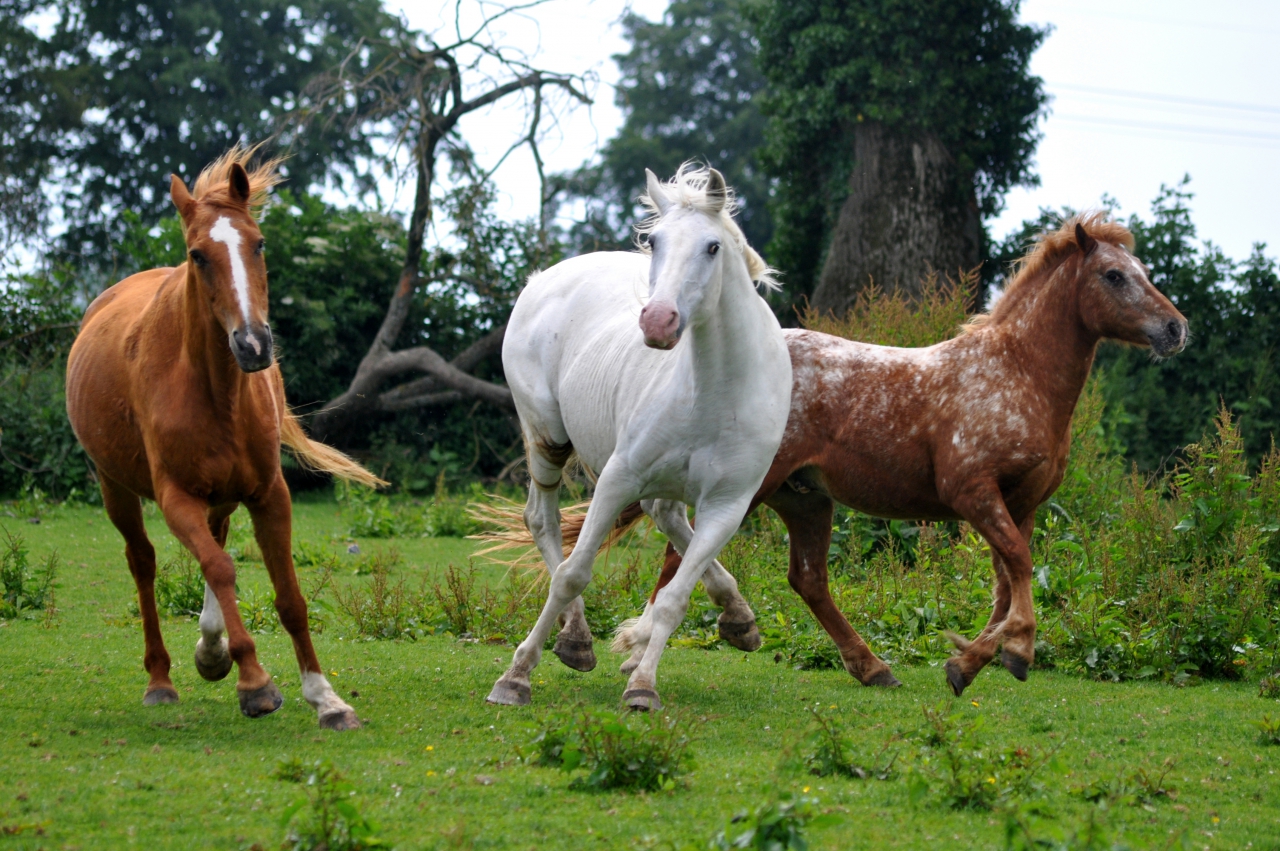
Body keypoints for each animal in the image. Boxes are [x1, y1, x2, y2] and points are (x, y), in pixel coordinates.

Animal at [66, 148, 385, 729]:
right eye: (198, 255)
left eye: (258, 243)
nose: (254, 345)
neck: (215, 392)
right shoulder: (175, 497)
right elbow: (219, 566)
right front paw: (255, 683)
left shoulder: (269, 494)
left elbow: (289, 597)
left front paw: (326, 698)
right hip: (114, 487)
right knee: (144, 562)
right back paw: (162, 679)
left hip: (222, 493)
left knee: (213, 538)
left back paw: (210, 650)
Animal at [486, 164, 792, 711]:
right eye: (654, 241)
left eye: (713, 246)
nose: (657, 321)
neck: (717, 388)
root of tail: (544, 280)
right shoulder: (618, 479)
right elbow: (572, 575)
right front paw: (516, 676)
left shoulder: (727, 506)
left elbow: (673, 599)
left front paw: (643, 686)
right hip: (548, 438)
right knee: (542, 523)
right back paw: (575, 639)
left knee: (664, 516)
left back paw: (737, 618)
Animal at [525, 213, 1188, 696]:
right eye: (1113, 276)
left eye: (1141, 270)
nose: (1176, 329)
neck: (1014, 375)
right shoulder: (973, 493)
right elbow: (1019, 570)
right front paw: (1015, 651)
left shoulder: (1020, 504)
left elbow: (1009, 580)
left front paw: (971, 661)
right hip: (746, 490)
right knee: (679, 556)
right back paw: (646, 647)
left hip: (804, 500)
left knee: (805, 579)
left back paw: (866, 665)